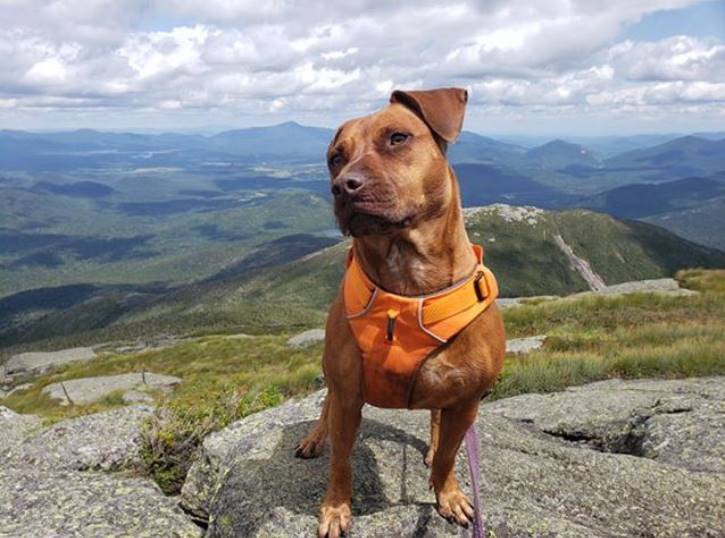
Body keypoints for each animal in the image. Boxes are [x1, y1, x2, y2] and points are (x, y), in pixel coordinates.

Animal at [294, 89, 504, 536]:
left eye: (397, 138)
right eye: (335, 157)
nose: (343, 187)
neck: (409, 286)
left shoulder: (467, 402)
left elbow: (448, 456)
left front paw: (449, 495)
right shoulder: (349, 395)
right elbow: (341, 461)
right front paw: (335, 509)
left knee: (438, 420)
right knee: (326, 406)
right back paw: (315, 437)